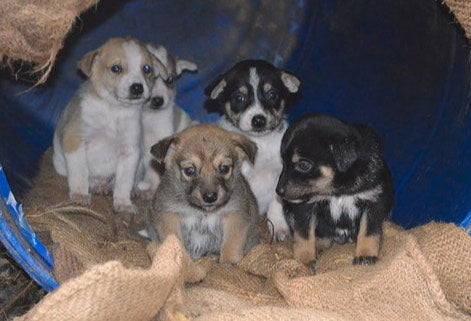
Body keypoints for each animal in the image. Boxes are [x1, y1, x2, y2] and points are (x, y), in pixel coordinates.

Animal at [53, 37, 162, 212]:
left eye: (147, 69)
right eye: (116, 69)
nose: (137, 87)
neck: (114, 111)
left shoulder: (129, 152)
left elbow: (124, 182)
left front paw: (123, 203)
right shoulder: (75, 141)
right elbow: (80, 172)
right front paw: (80, 194)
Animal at [147, 124, 258, 262]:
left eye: (224, 168)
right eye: (190, 170)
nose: (210, 197)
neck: (201, 212)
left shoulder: (236, 216)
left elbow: (232, 243)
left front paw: (228, 262)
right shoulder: (168, 215)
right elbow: (174, 241)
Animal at [205, 59, 300, 240]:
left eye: (272, 95)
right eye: (239, 98)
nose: (259, 120)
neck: (259, 143)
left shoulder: (281, 176)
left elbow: (276, 202)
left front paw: (278, 226)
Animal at [276, 112, 394, 264]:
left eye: (304, 165)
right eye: (283, 162)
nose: (278, 191)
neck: (338, 189)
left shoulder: (374, 201)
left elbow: (368, 230)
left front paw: (365, 255)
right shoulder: (303, 207)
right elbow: (303, 235)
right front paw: (305, 260)